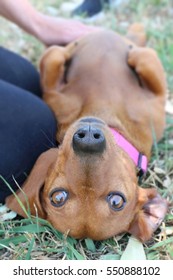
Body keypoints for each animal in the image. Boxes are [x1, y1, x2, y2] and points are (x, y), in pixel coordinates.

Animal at [5, 25, 168, 242]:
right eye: (58, 197)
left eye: (117, 201)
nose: (89, 140)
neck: (104, 112)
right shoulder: (52, 93)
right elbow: (54, 56)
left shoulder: (157, 102)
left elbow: (144, 59)